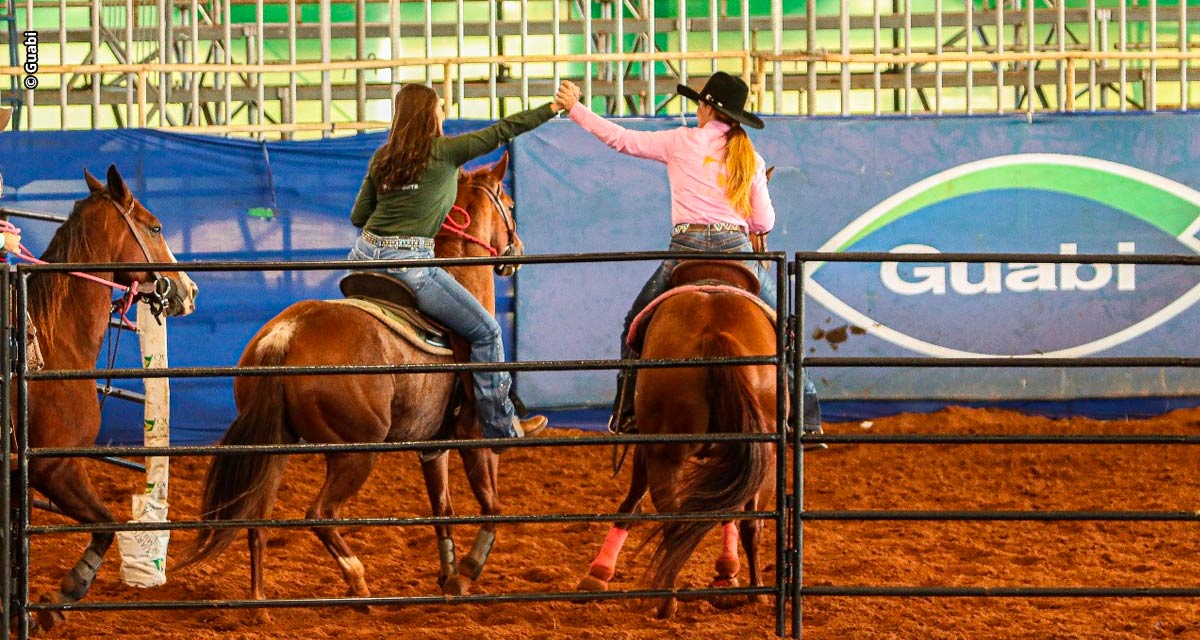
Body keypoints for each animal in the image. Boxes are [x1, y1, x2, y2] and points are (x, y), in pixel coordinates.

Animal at [17, 163, 199, 629]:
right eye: (156, 227)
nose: (189, 290)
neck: (52, 338)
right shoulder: (55, 467)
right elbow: (105, 523)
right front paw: (63, 595)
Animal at [181, 152, 525, 614]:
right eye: (509, 202)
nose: (517, 251)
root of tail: (285, 334)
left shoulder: (433, 446)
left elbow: (443, 509)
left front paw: (448, 575)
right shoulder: (475, 435)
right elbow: (491, 505)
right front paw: (465, 574)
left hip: (275, 447)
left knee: (258, 519)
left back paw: (260, 604)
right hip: (355, 452)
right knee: (320, 514)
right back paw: (358, 583)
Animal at [573, 270, 777, 619]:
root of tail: (714, 332)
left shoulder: (646, 448)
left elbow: (631, 502)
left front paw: (597, 575)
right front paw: (727, 574)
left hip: (664, 454)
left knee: (676, 522)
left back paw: (667, 601)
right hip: (762, 452)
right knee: (749, 523)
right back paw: (757, 593)